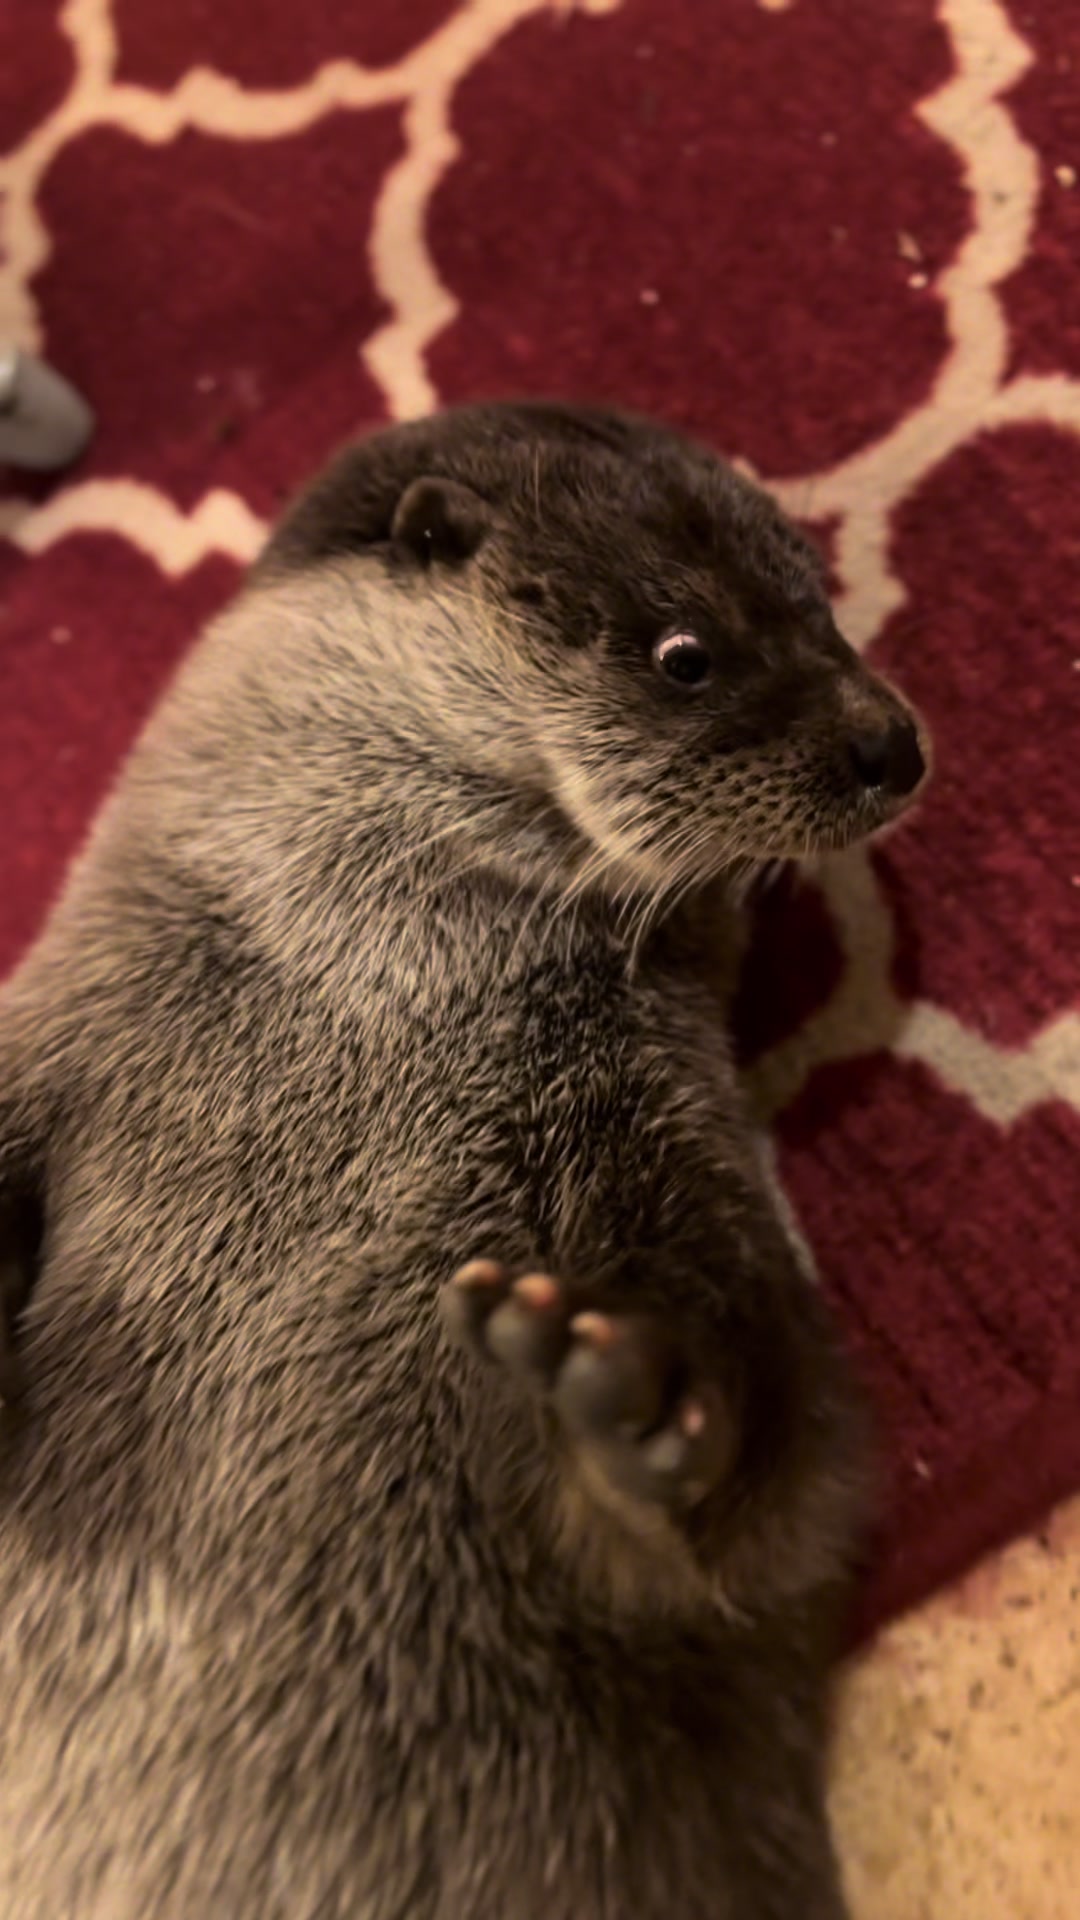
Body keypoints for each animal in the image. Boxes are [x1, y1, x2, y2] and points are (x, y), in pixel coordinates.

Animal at [0, 402, 927, 1919]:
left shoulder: (677, 1150)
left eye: (822, 609)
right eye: (685, 652)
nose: (890, 742)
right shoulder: (52, 1042)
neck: (362, 1016)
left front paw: (633, 1385)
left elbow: (783, 1508)